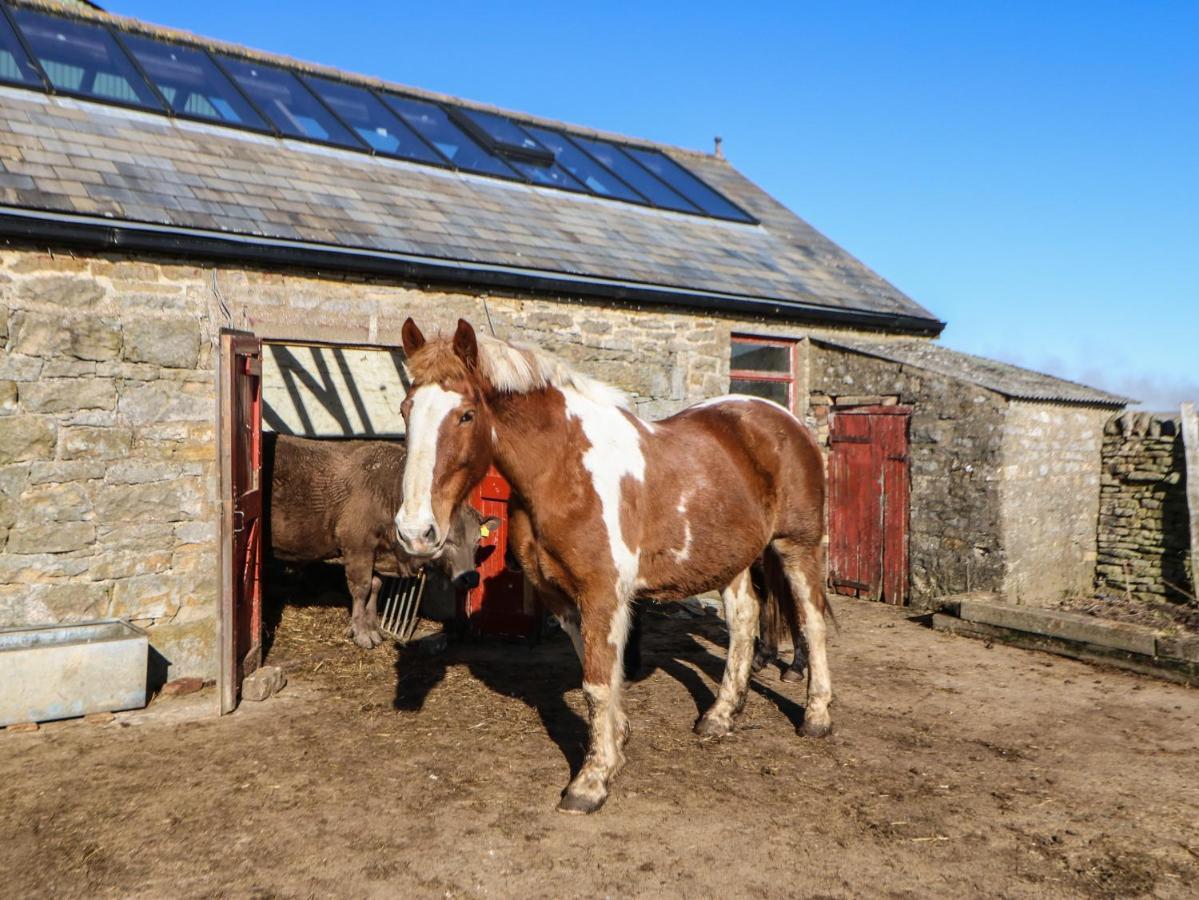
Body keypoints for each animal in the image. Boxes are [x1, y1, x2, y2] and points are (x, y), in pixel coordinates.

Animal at [398, 318, 829, 814]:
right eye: (406, 410)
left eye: (466, 415)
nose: (414, 531)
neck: (563, 471)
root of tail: (786, 421)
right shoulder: (561, 597)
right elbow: (597, 675)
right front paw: (617, 741)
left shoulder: (603, 595)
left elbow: (598, 684)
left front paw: (591, 782)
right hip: (730, 557)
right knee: (744, 622)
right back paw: (719, 717)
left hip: (798, 547)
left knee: (812, 621)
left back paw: (817, 717)